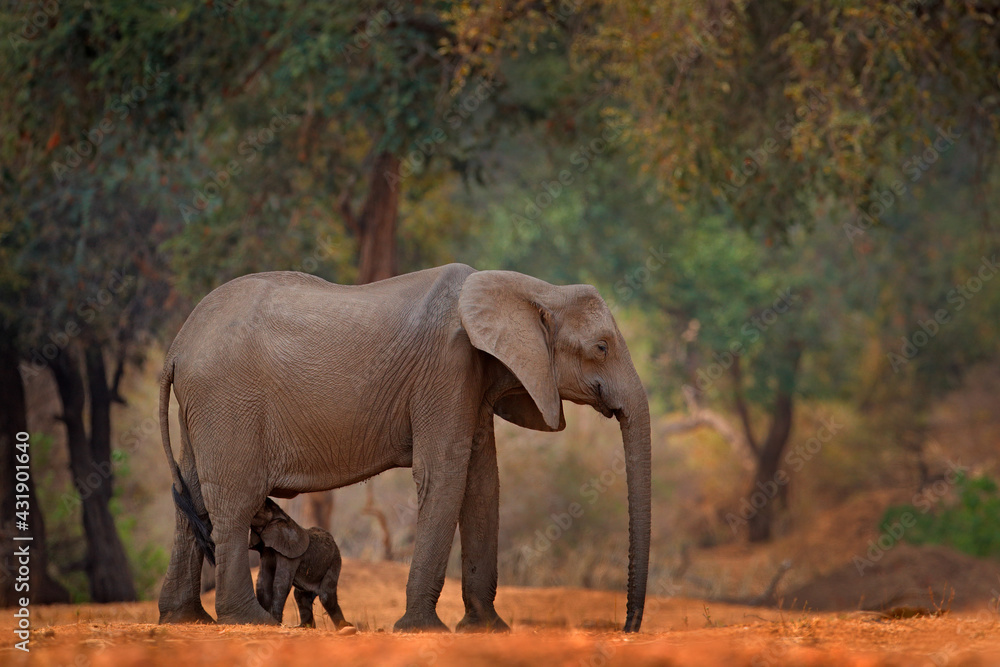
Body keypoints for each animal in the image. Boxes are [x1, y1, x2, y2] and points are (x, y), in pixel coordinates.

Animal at [249, 498, 351, 629]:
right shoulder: (267, 550)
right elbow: (263, 581)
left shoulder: (290, 554)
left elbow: (281, 583)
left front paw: (276, 622)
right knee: (300, 594)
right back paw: (303, 626)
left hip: (335, 560)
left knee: (326, 595)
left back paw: (345, 626)